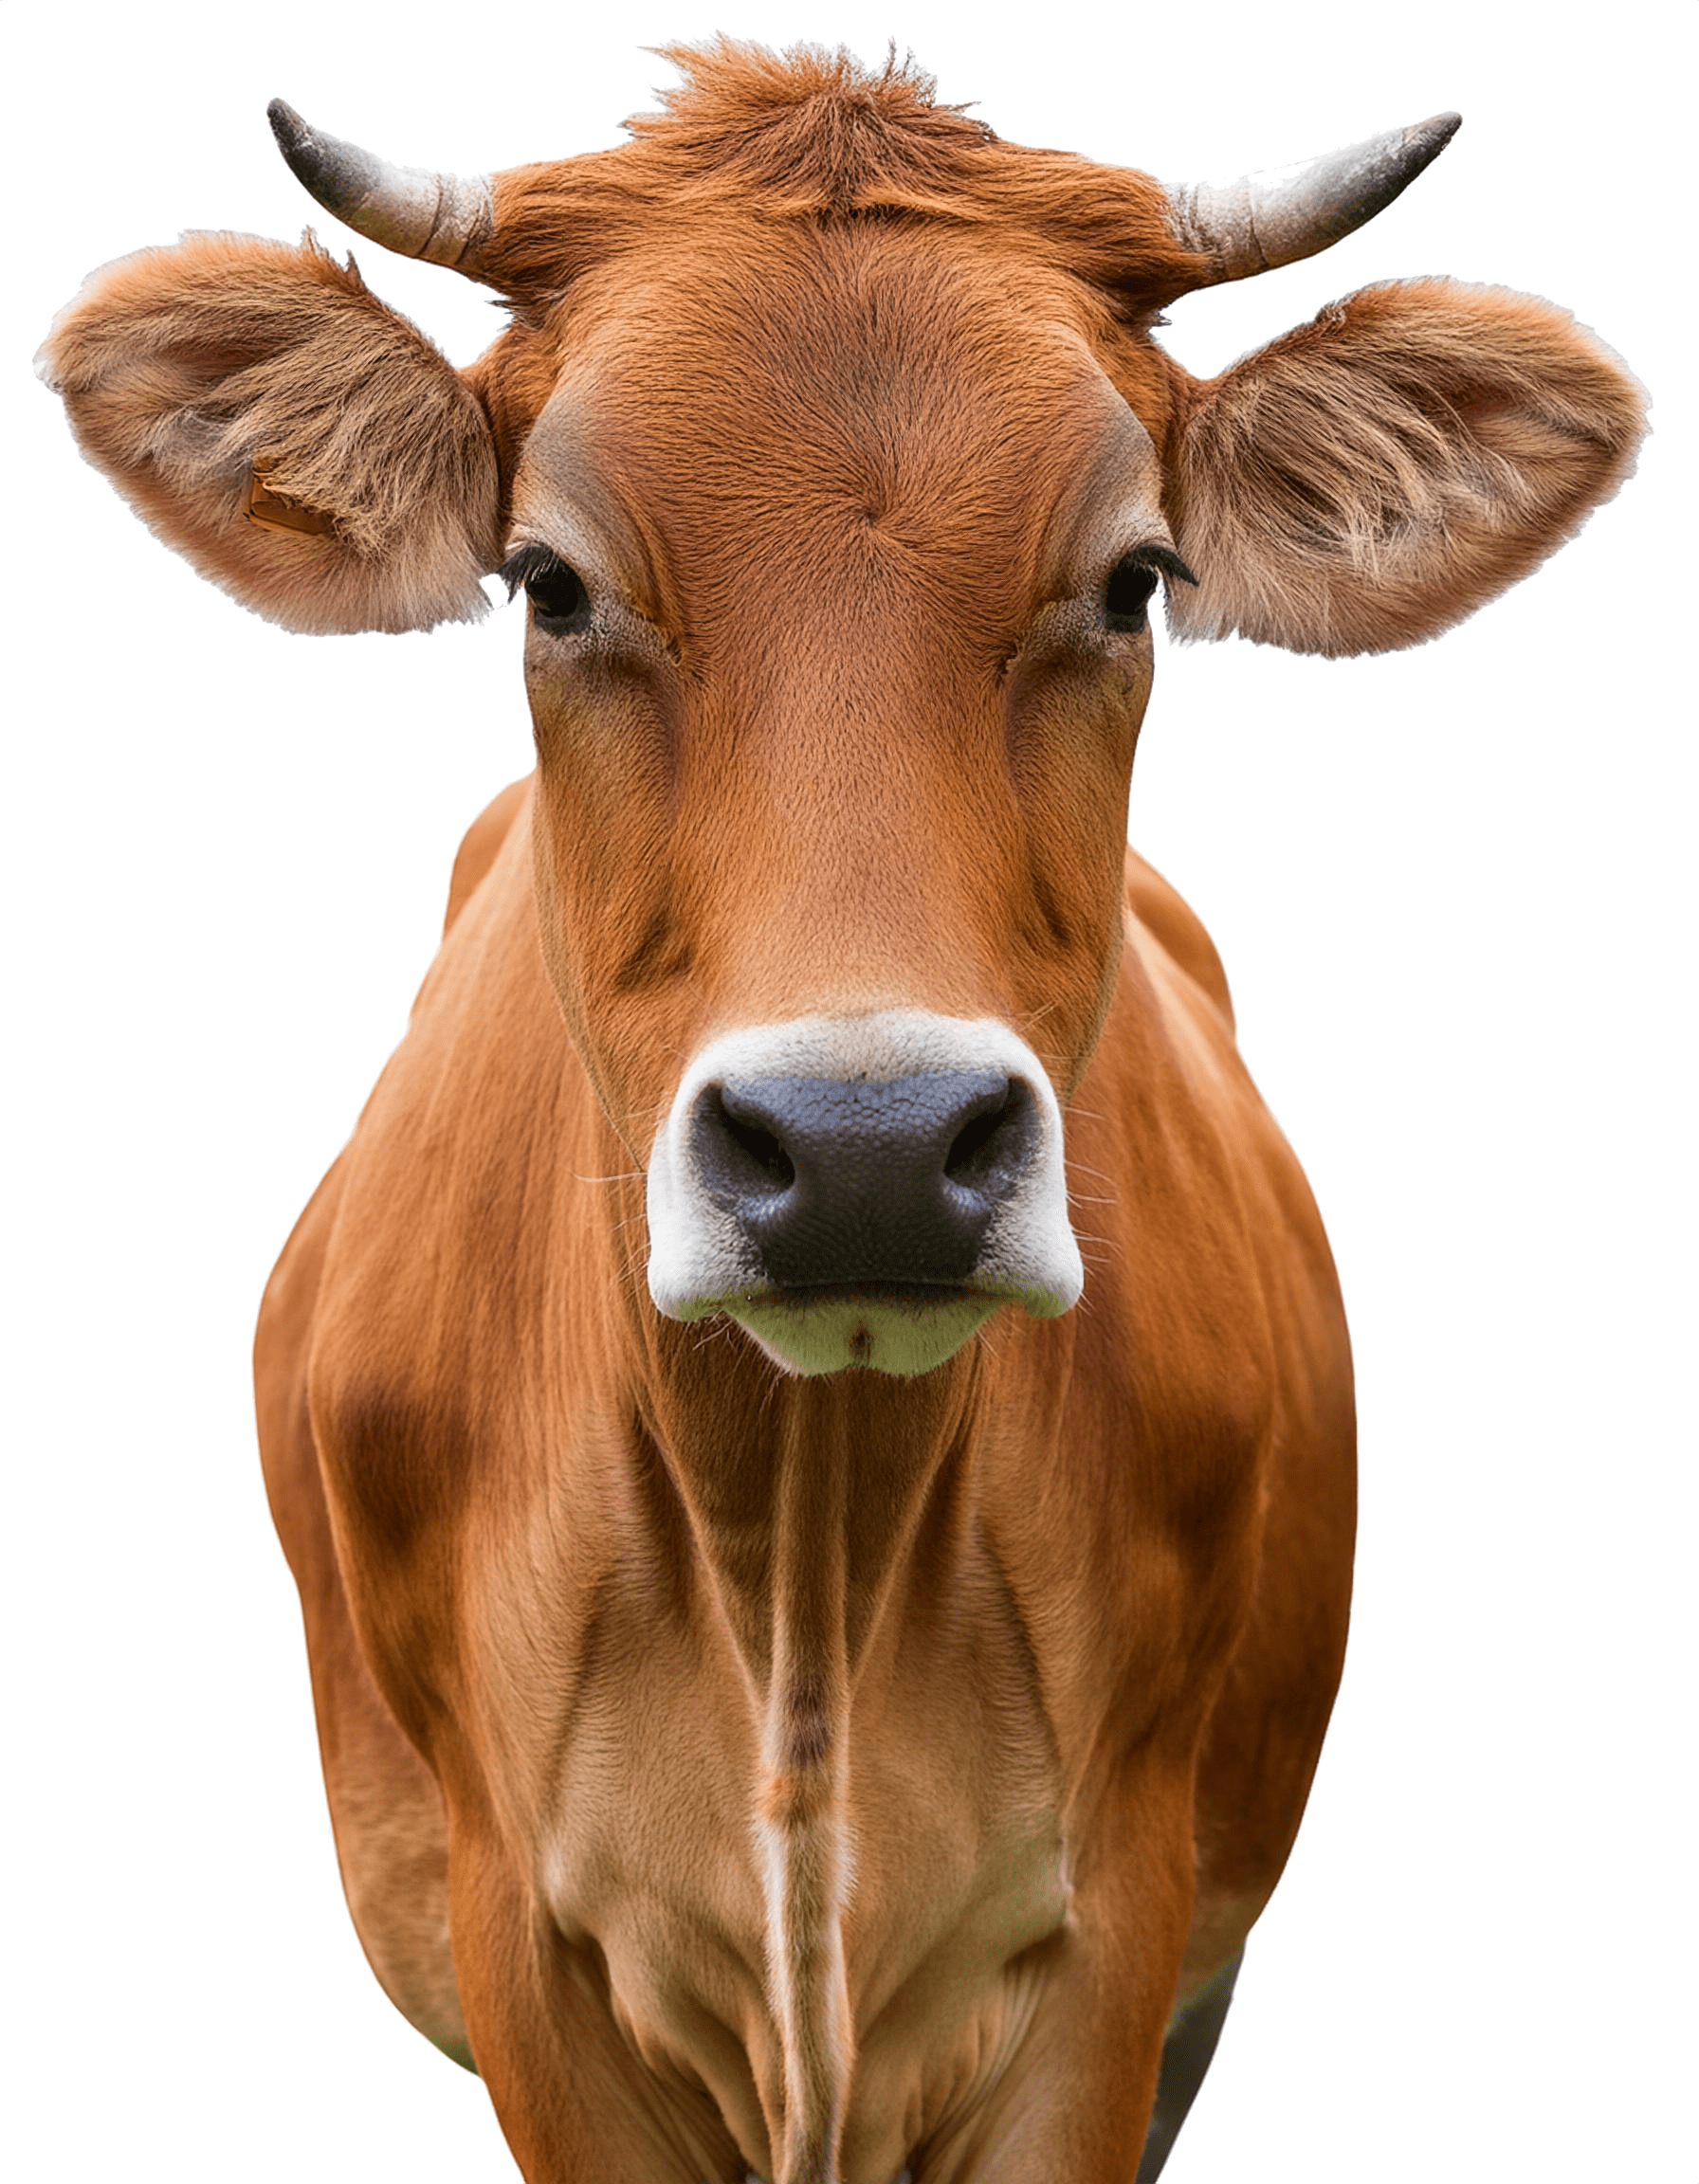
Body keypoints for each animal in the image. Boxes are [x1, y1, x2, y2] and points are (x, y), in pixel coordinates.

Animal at [36, 35, 1648, 2184]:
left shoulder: (1116, 1952)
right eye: (546, 581)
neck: (805, 1560)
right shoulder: (525, 1952)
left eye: (1135, 578)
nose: (867, 1147)